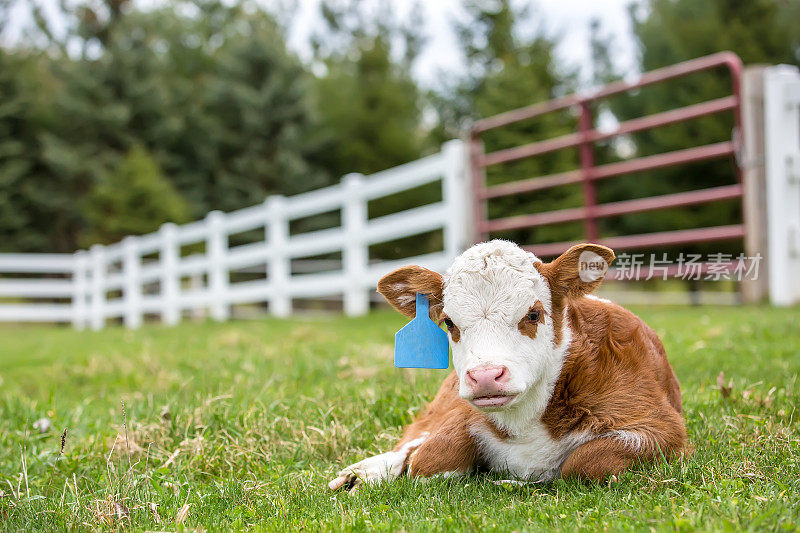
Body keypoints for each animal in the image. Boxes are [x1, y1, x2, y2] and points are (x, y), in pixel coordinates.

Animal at [328, 239, 684, 488]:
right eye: (449, 323)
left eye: (534, 314)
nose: (486, 376)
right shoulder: (462, 413)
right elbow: (429, 456)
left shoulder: (661, 428)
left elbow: (586, 462)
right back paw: (361, 473)